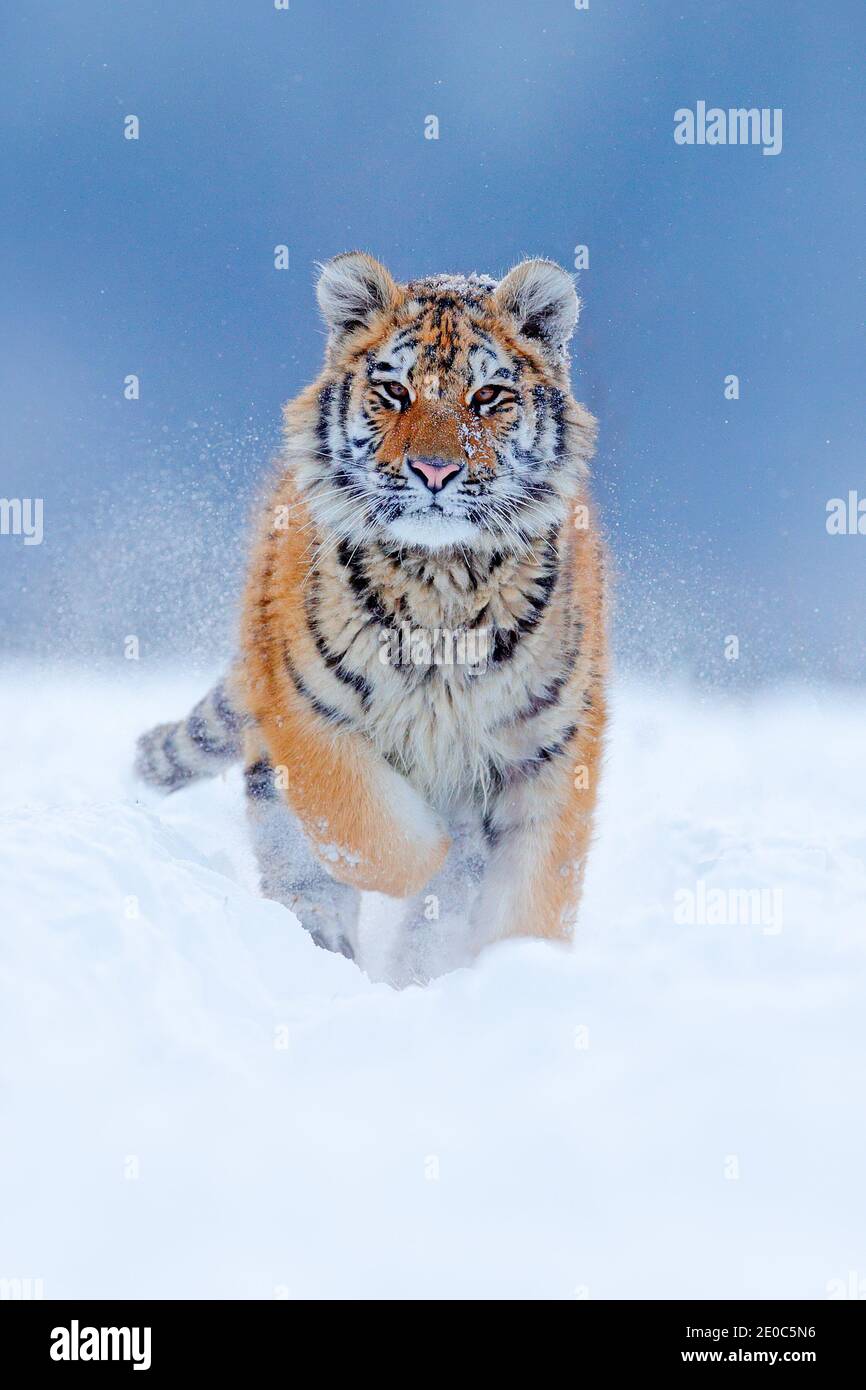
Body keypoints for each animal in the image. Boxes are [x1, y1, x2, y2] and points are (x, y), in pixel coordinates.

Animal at [135, 253, 607, 983]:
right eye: (394, 391)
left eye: (487, 397)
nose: (434, 471)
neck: (443, 581)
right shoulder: (308, 711)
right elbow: (372, 831)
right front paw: (439, 855)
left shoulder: (551, 744)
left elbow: (536, 886)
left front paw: (520, 967)